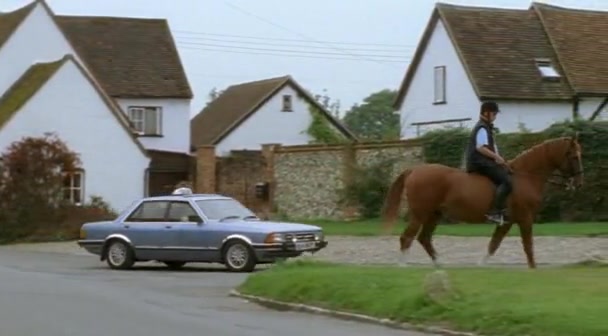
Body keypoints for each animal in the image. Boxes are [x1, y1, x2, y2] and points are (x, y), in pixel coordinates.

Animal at [382, 134, 580, 268]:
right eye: (574, 156)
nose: (579, 182)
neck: (524, 177)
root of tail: (414, 170)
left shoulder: (507, 222)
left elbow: (494, 244)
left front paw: (482, 266)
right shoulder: (525, 218)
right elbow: (528, 244)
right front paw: (533, 268)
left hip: (433, 215)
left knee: (424, 238)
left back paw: (440, 264)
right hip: (420, 214)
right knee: (407, 237)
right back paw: (403, 266)